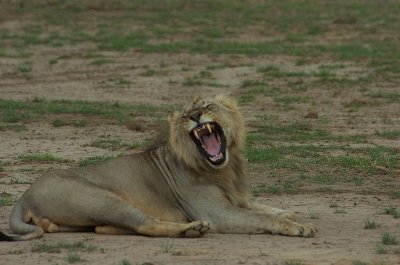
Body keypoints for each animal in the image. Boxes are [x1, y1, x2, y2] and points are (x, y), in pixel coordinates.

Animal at [0, 95, 316, 239]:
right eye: (186, 116)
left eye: (207, 105)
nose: (196, 116)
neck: (223, 168)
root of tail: (24, 195)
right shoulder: (219, 214)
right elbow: (259, 217)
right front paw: (298, 226)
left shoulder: (238, 198)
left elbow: (261, 207)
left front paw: (289, 213)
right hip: (102, 199)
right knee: (144, 224)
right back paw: (192, 229)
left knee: (107, 228)